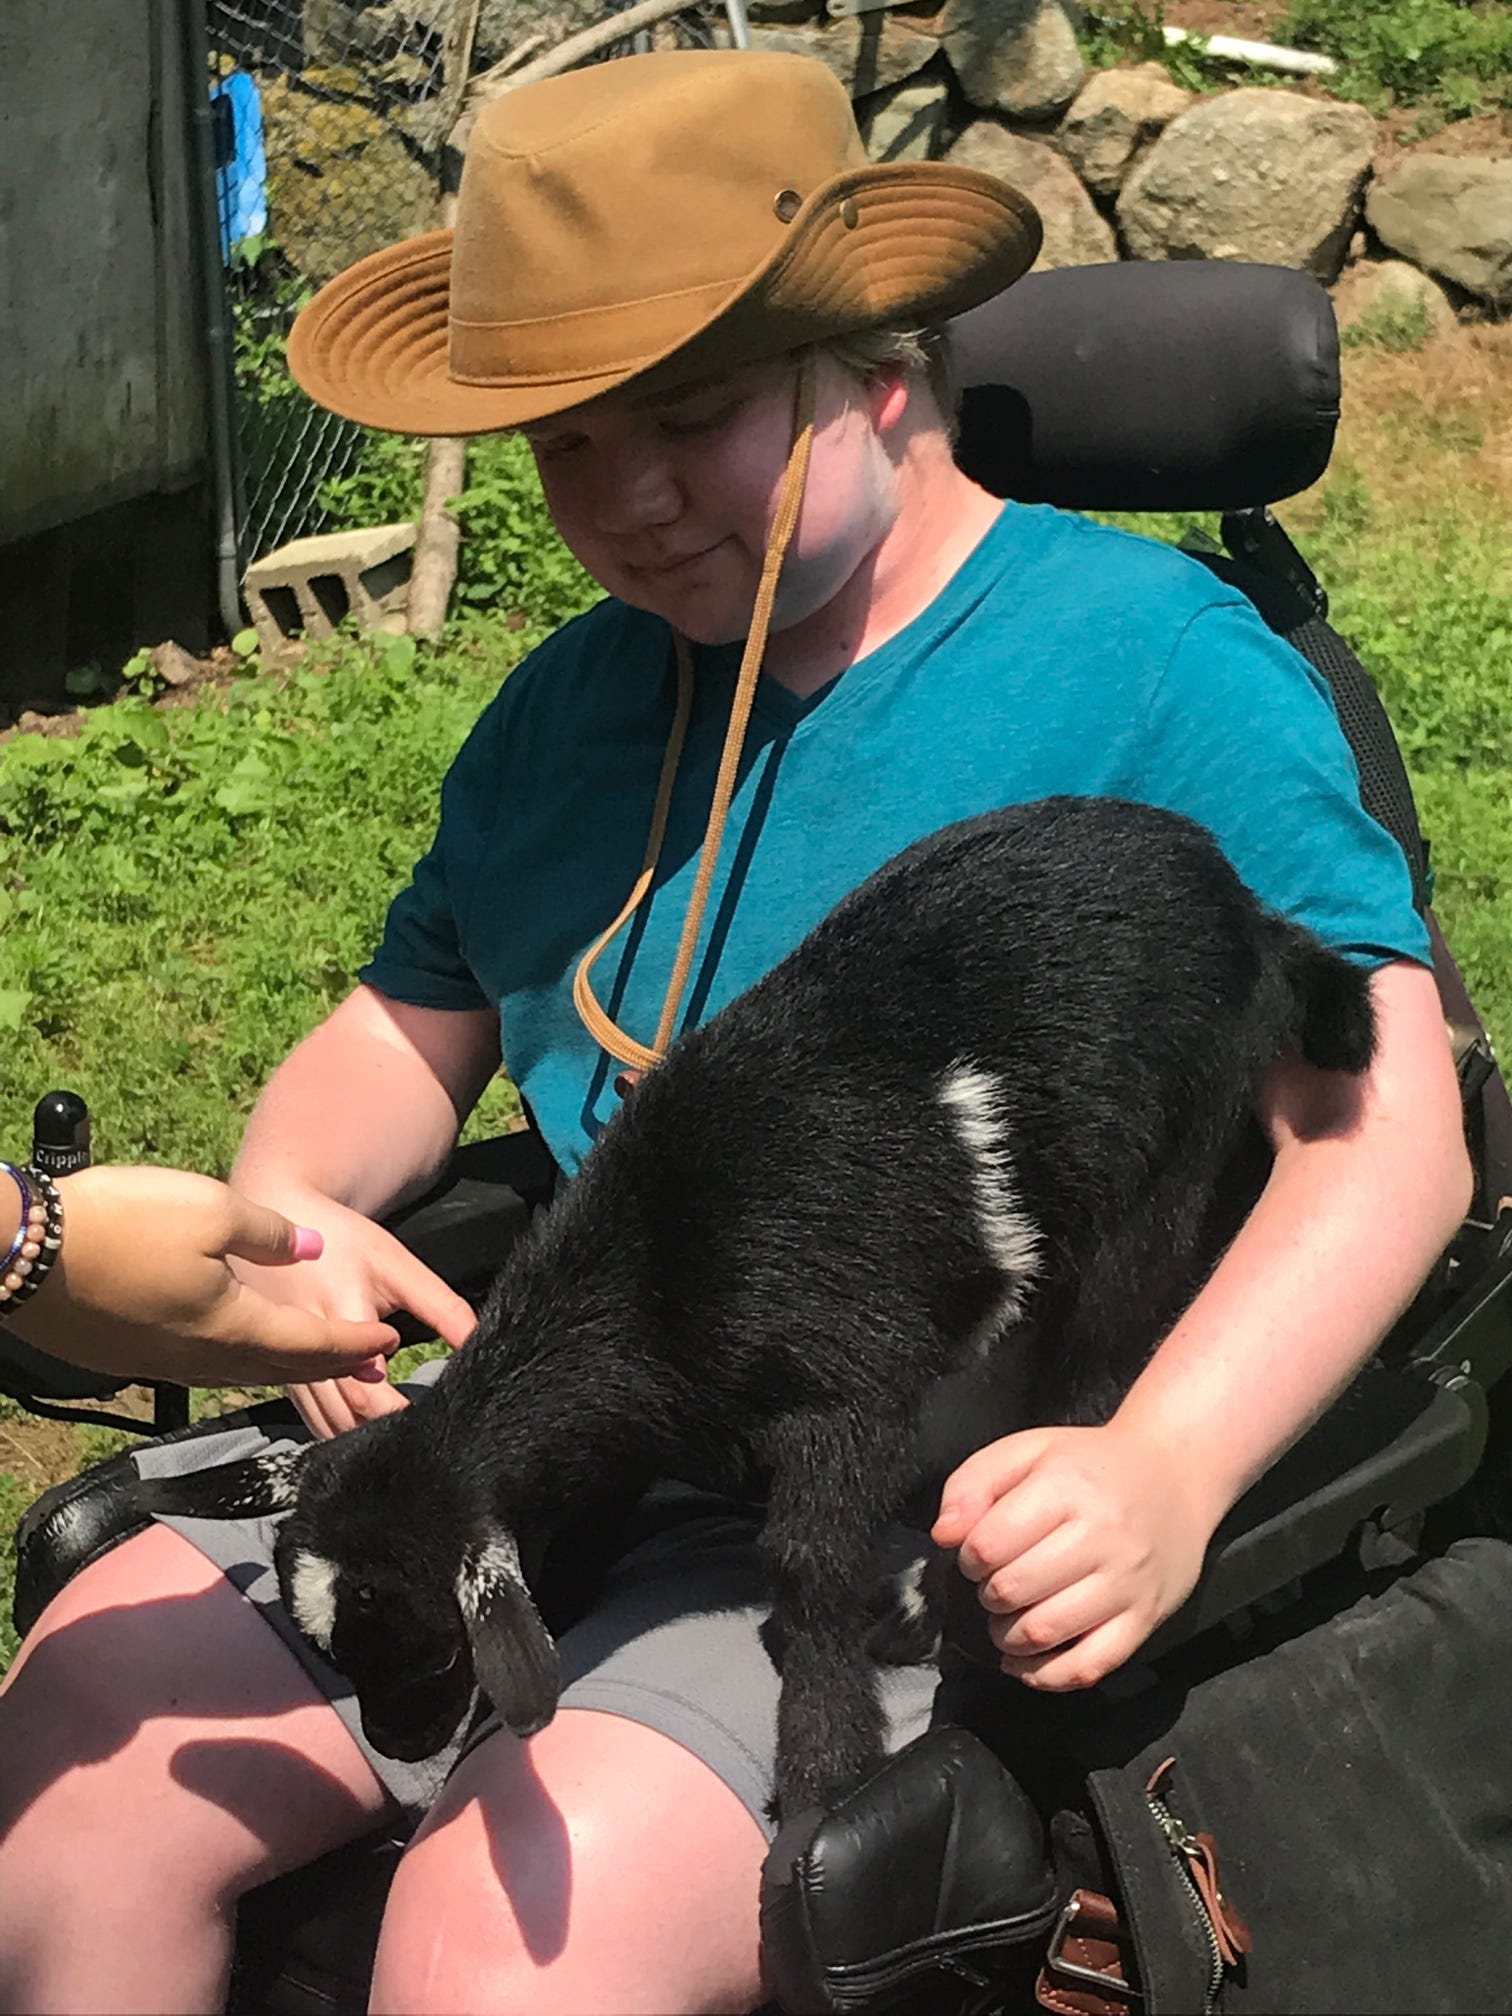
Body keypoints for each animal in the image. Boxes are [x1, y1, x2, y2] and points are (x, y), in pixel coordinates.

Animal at [141, 796, 1377, 1819]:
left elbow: (809, 1570)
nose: (400, 1746)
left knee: (1097, 1367)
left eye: (437, 1649)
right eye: (340, 1651)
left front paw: (824, 1769)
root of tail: (1250, 911)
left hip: (1166, 1161)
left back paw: (937, 1596)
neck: (653, 1280)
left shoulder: (848, 1392)